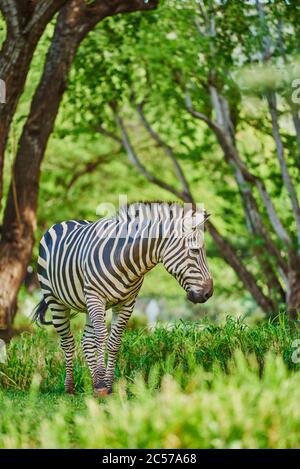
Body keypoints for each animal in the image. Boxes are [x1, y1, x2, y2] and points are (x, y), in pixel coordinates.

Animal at [33, 201, 213, 394]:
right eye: (194, 251)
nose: (209, 293)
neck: (125, 260)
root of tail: (65, 222)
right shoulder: (96, 297)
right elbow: (101, 338)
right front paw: (102, 385)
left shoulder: (127, 303)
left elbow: (114, 341)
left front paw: (108, 385)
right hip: (55, 300)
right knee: (67, 341)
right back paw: (70, 387)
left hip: (88, 303)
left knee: (87, 341)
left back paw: (93, 382)